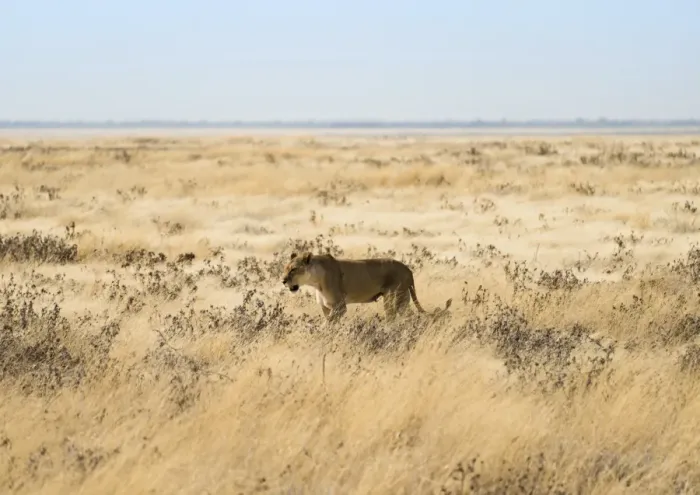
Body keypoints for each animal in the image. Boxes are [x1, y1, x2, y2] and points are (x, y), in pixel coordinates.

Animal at [281, 251, 452, 323]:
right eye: (285, 268)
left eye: (293, 269)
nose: (283, 281)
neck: (315, 282)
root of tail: (408, 269)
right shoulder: (326, 307)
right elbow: (330, 321)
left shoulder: (340, 306)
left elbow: (328, 323)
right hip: (402, 299)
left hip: (394, 298)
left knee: (396, 316)